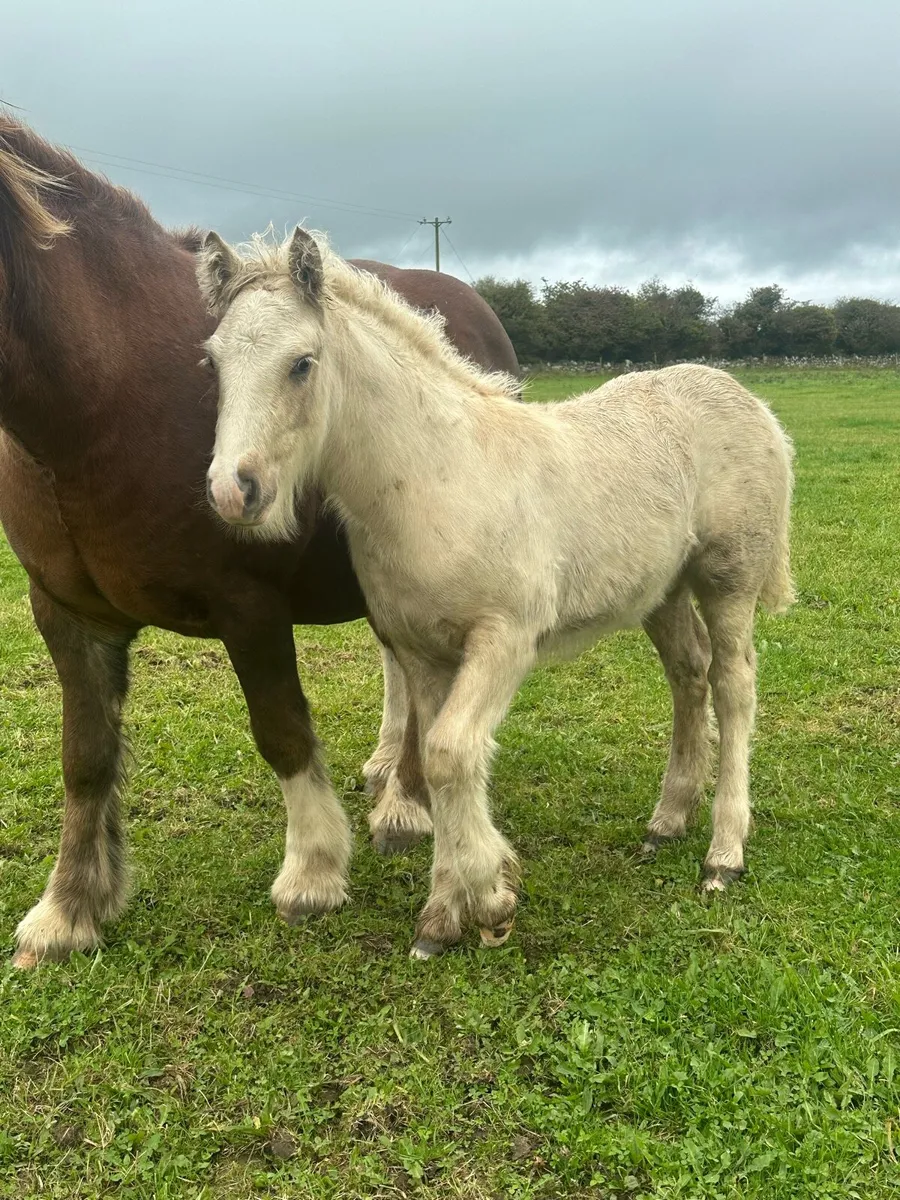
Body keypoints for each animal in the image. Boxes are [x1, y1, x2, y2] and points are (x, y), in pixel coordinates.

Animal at [0, 117, 519, 967]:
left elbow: (281, 733)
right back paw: (389, 771)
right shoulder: (68, 616)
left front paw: (312, 872)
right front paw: (69, 908)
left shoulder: (248, 607)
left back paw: (404, 805)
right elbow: (84, 759)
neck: (100, 399)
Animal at [199, 225, 795, 959]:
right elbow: (433, 761)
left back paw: (723, 854)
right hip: (662, 591)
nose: (234, 491)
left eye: (301, 364)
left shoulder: (504, 638)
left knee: (734, 685)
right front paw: (442, 915)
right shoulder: (423, 652)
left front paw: (489, 899)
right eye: (214, 364)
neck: (436, 477)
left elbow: (451, 755)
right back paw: (667, 820)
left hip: (727, 577)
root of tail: (749, 400)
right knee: (690, 675)